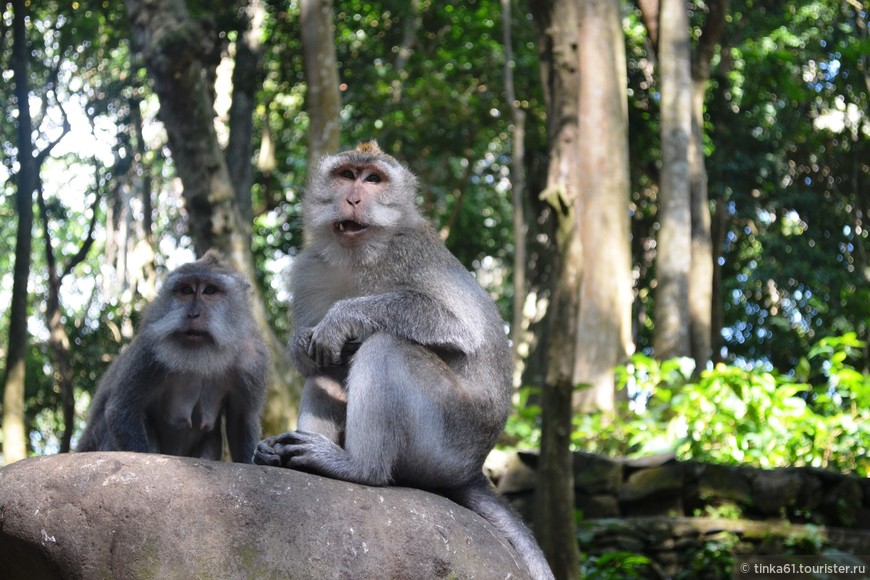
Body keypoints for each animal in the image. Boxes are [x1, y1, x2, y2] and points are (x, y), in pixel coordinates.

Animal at [78, 249, 270, 462]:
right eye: (186, 290)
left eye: (210, 291)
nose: (193, 314)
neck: (202, 357)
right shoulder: (149, 351)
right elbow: (121, 410)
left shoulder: (252, 360)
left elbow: (241, 419)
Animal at [258, 142, 560, 580]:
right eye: (346, 175)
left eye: (373, 179)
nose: (354, 198)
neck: (360, 257)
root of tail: (474, 468)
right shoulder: (309, 268)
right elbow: (311, 357)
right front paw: (302, 343)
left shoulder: (410, 252)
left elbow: (457, 325)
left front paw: (341, 318)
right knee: (329, 368)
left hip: (448, 438)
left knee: (386, 347)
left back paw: (358, 468)